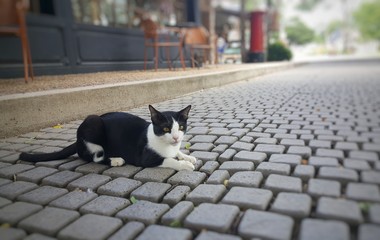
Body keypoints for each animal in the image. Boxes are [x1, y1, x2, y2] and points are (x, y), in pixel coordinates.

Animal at [19, 105, 196, 171]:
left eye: (181, 128)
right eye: (166, 129)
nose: (176, 138)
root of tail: (77, 141)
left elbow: (176, 153)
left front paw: (187, 156)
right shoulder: (145, 158)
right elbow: (168, 160)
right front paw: (185, 164)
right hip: (93, 122)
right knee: (93, 157)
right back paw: (116, 160)